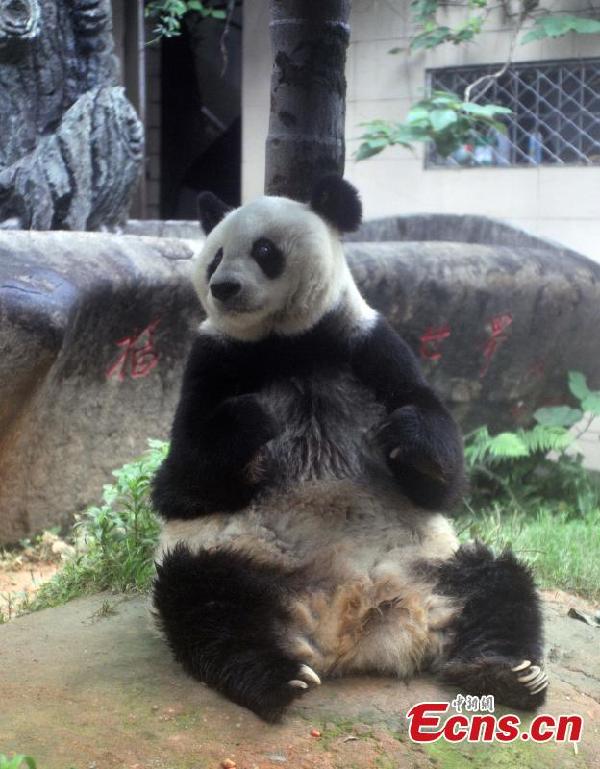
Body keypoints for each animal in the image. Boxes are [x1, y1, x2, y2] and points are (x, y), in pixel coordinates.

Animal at [152, 176, 547, 722]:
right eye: (214, 258)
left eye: (265, 250)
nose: (223, 287)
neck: (287, 344)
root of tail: (351, 622)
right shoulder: (213, 361)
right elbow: (180, 485)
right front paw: (251, 420)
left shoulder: (369, 344)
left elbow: (442, 482)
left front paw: (407, 437)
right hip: (239, 558)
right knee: (204, 601)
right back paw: (276, 678)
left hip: (431, 564)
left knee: (498, 582)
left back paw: (505, 671)